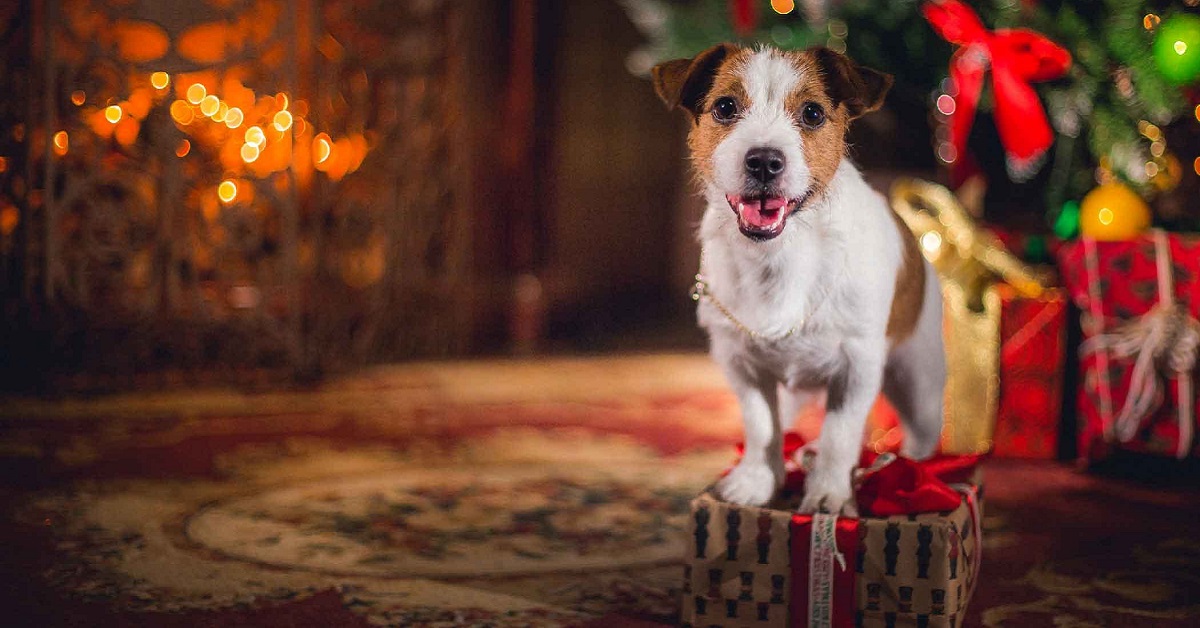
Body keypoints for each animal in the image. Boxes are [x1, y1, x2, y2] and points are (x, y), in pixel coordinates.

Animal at [657, 44, 945, 516]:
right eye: (725, 107)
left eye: (812, 113)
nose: (764, 160)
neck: (780, 256)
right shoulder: (741, 364)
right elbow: (760, 426)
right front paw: (757, 481)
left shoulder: (857, 368)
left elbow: (838, 436)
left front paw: (829, 493)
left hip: (918, 382)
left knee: (923, 434)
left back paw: (917, 475)